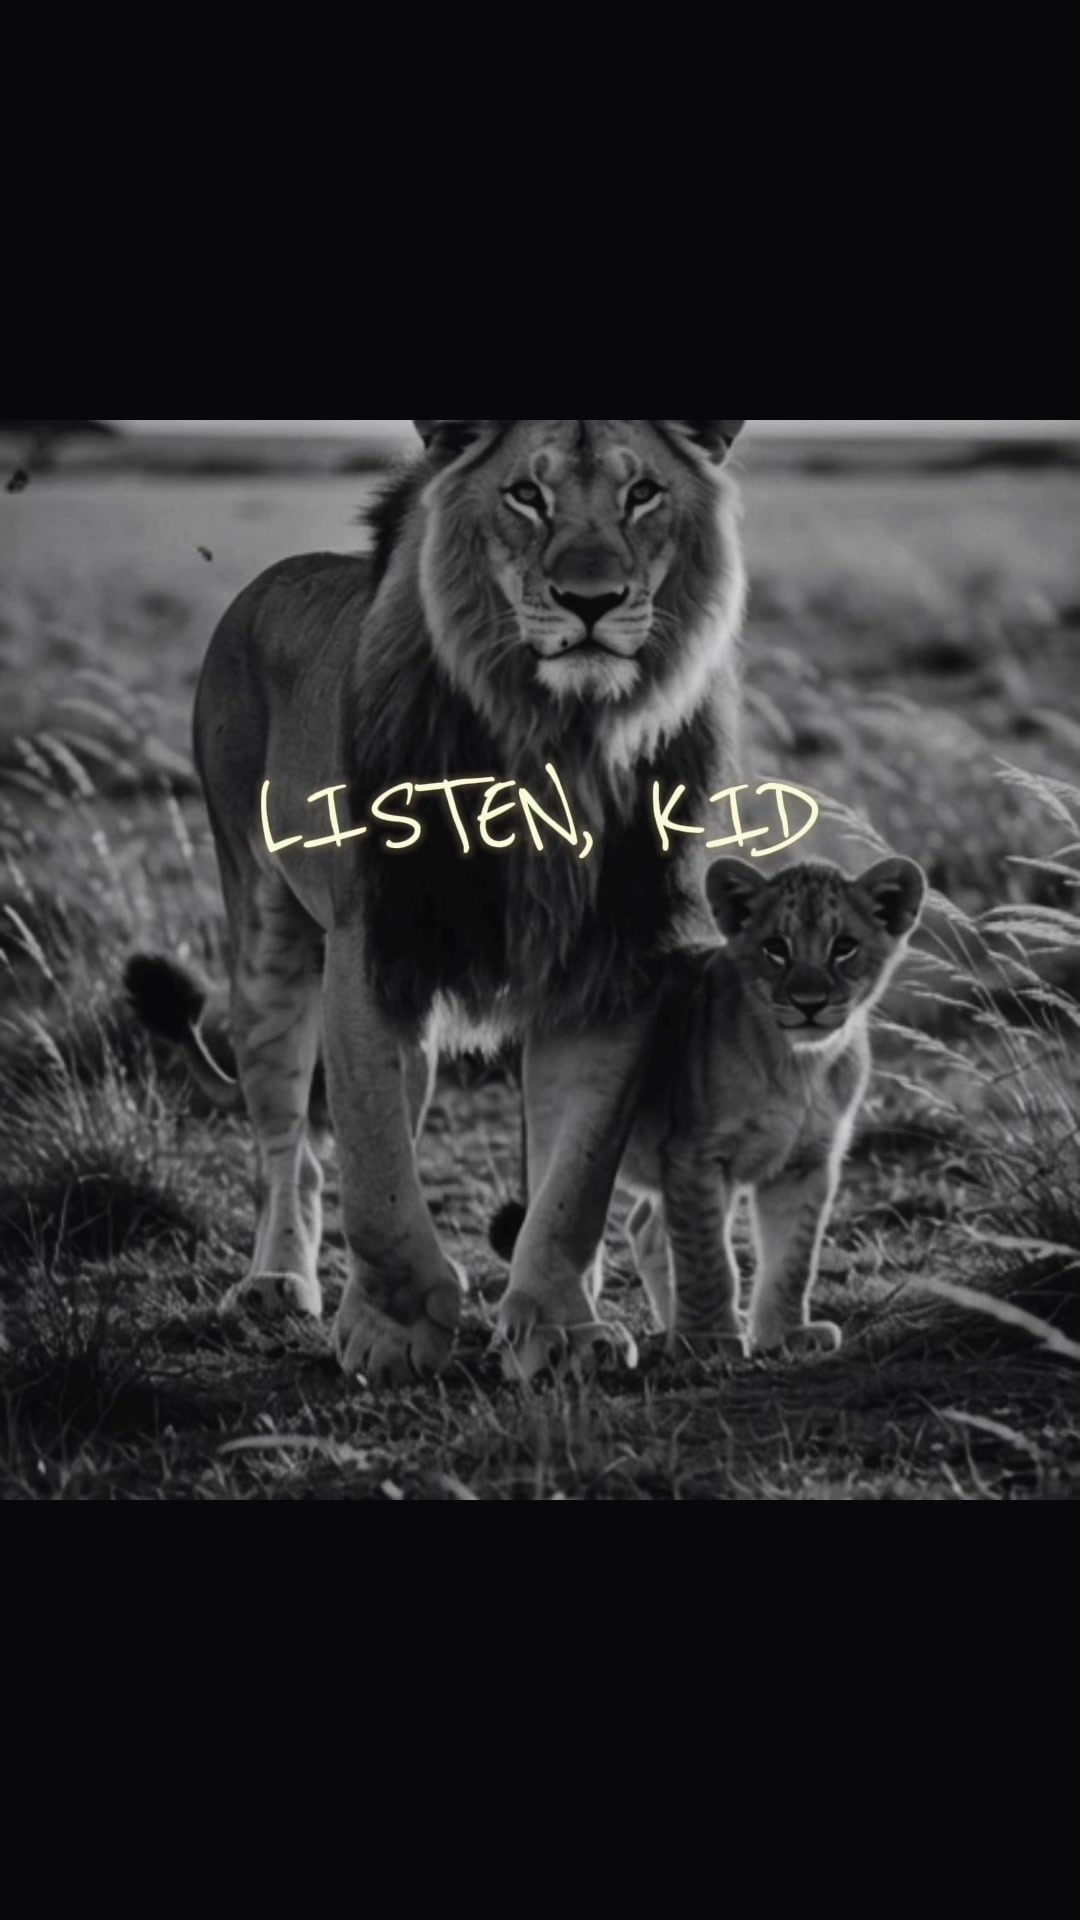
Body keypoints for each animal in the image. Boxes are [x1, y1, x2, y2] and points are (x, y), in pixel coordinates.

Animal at [141, 419, 749, 1384]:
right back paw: (276, 1281)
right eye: (526, 495)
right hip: (264, 933)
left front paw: (559, 1327)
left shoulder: (615, 963)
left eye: (642, 494)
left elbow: (575, 1176)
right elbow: (376, 1166)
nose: (590, 601)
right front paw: (393, 1329)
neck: (555, 739)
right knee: (289, 1145)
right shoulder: (375, 946)